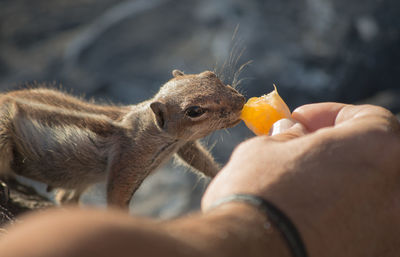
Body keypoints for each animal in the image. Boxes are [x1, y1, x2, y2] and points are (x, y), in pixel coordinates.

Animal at [0, 69, 244, 208]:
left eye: (210, 74)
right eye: (194, 111)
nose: (240, 101)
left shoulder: (184, 144)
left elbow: (199, 160)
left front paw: (221, 172)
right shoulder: (127, 162)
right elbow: (116, 198)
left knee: (65, 197)